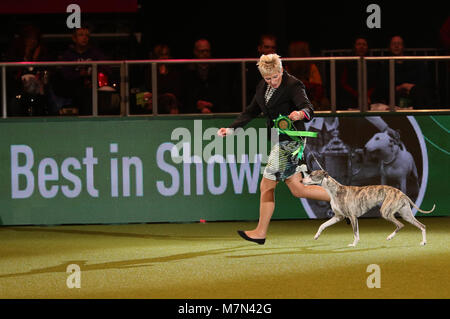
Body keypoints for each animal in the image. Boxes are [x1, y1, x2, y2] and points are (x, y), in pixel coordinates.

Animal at [304, 170, 434, 248]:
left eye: (311, 175)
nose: (301, 180)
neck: (335, 191)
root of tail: (402, 193)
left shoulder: (352, 217)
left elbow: (355, 233)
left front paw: (353, 244)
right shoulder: (338, 217)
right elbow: (323, 225)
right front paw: (316, 236)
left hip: (386, 212)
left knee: (400, 225)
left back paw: (390, 237)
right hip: (406, 214)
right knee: (422, 226)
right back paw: (423, 242)